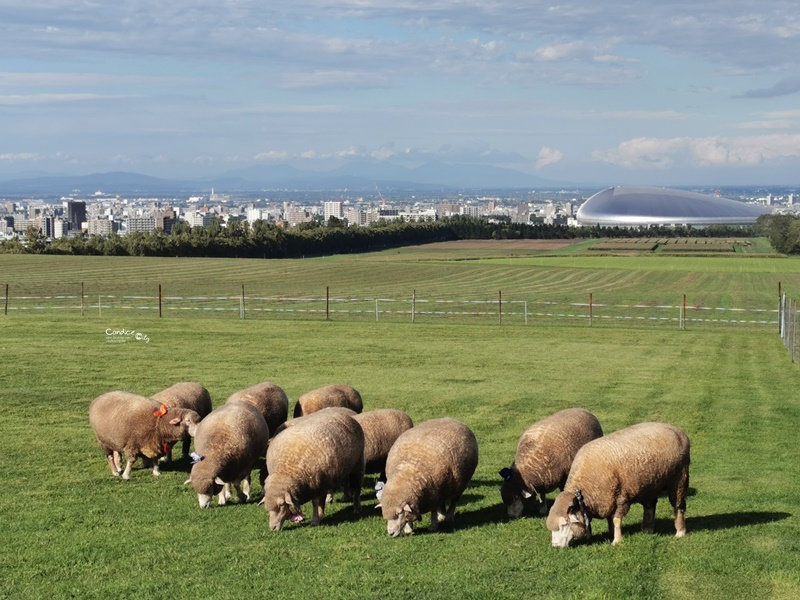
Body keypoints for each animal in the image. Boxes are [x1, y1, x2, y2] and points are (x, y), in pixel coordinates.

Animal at [548, 422, 692, 548]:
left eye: (564, 525)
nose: (555, 546)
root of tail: (678, 430)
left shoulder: (621, 498)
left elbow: (616, 520)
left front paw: (617, 540)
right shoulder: (607, 499)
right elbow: (610, 520)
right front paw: (612, 534)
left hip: (679, 478)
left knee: (678, 506)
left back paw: (680, 531)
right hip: (651, 483)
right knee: (650, 506)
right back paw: (647, 529)